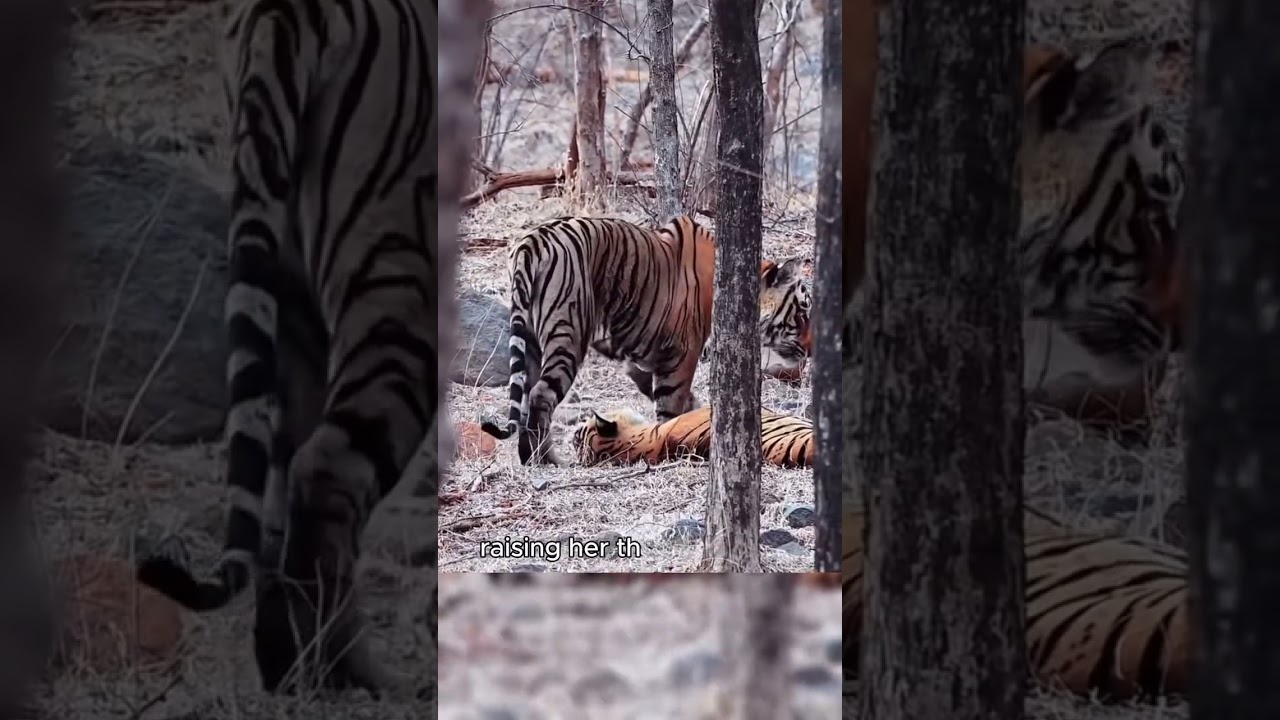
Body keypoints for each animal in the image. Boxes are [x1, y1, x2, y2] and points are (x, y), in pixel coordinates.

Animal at [134, 0, 435, 697]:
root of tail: (288, 8)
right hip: (397, 277)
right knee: (326, 468)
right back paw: (353, 679)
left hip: (289, 286)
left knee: (279, 483)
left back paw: (286, 668)